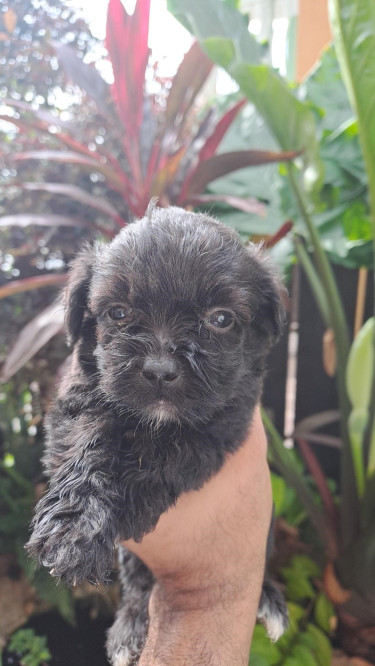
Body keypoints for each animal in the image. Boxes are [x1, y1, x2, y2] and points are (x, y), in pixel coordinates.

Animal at [26, 204, 290, 664]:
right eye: (118, 312)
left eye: (221, 319)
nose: (161, 371)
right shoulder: (76, 396)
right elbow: (89, 434)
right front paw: (74, 531)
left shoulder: (224, 423)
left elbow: (169, 453)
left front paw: (128, 503)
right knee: (137, 585)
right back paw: (130, 628)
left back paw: (269, 598)